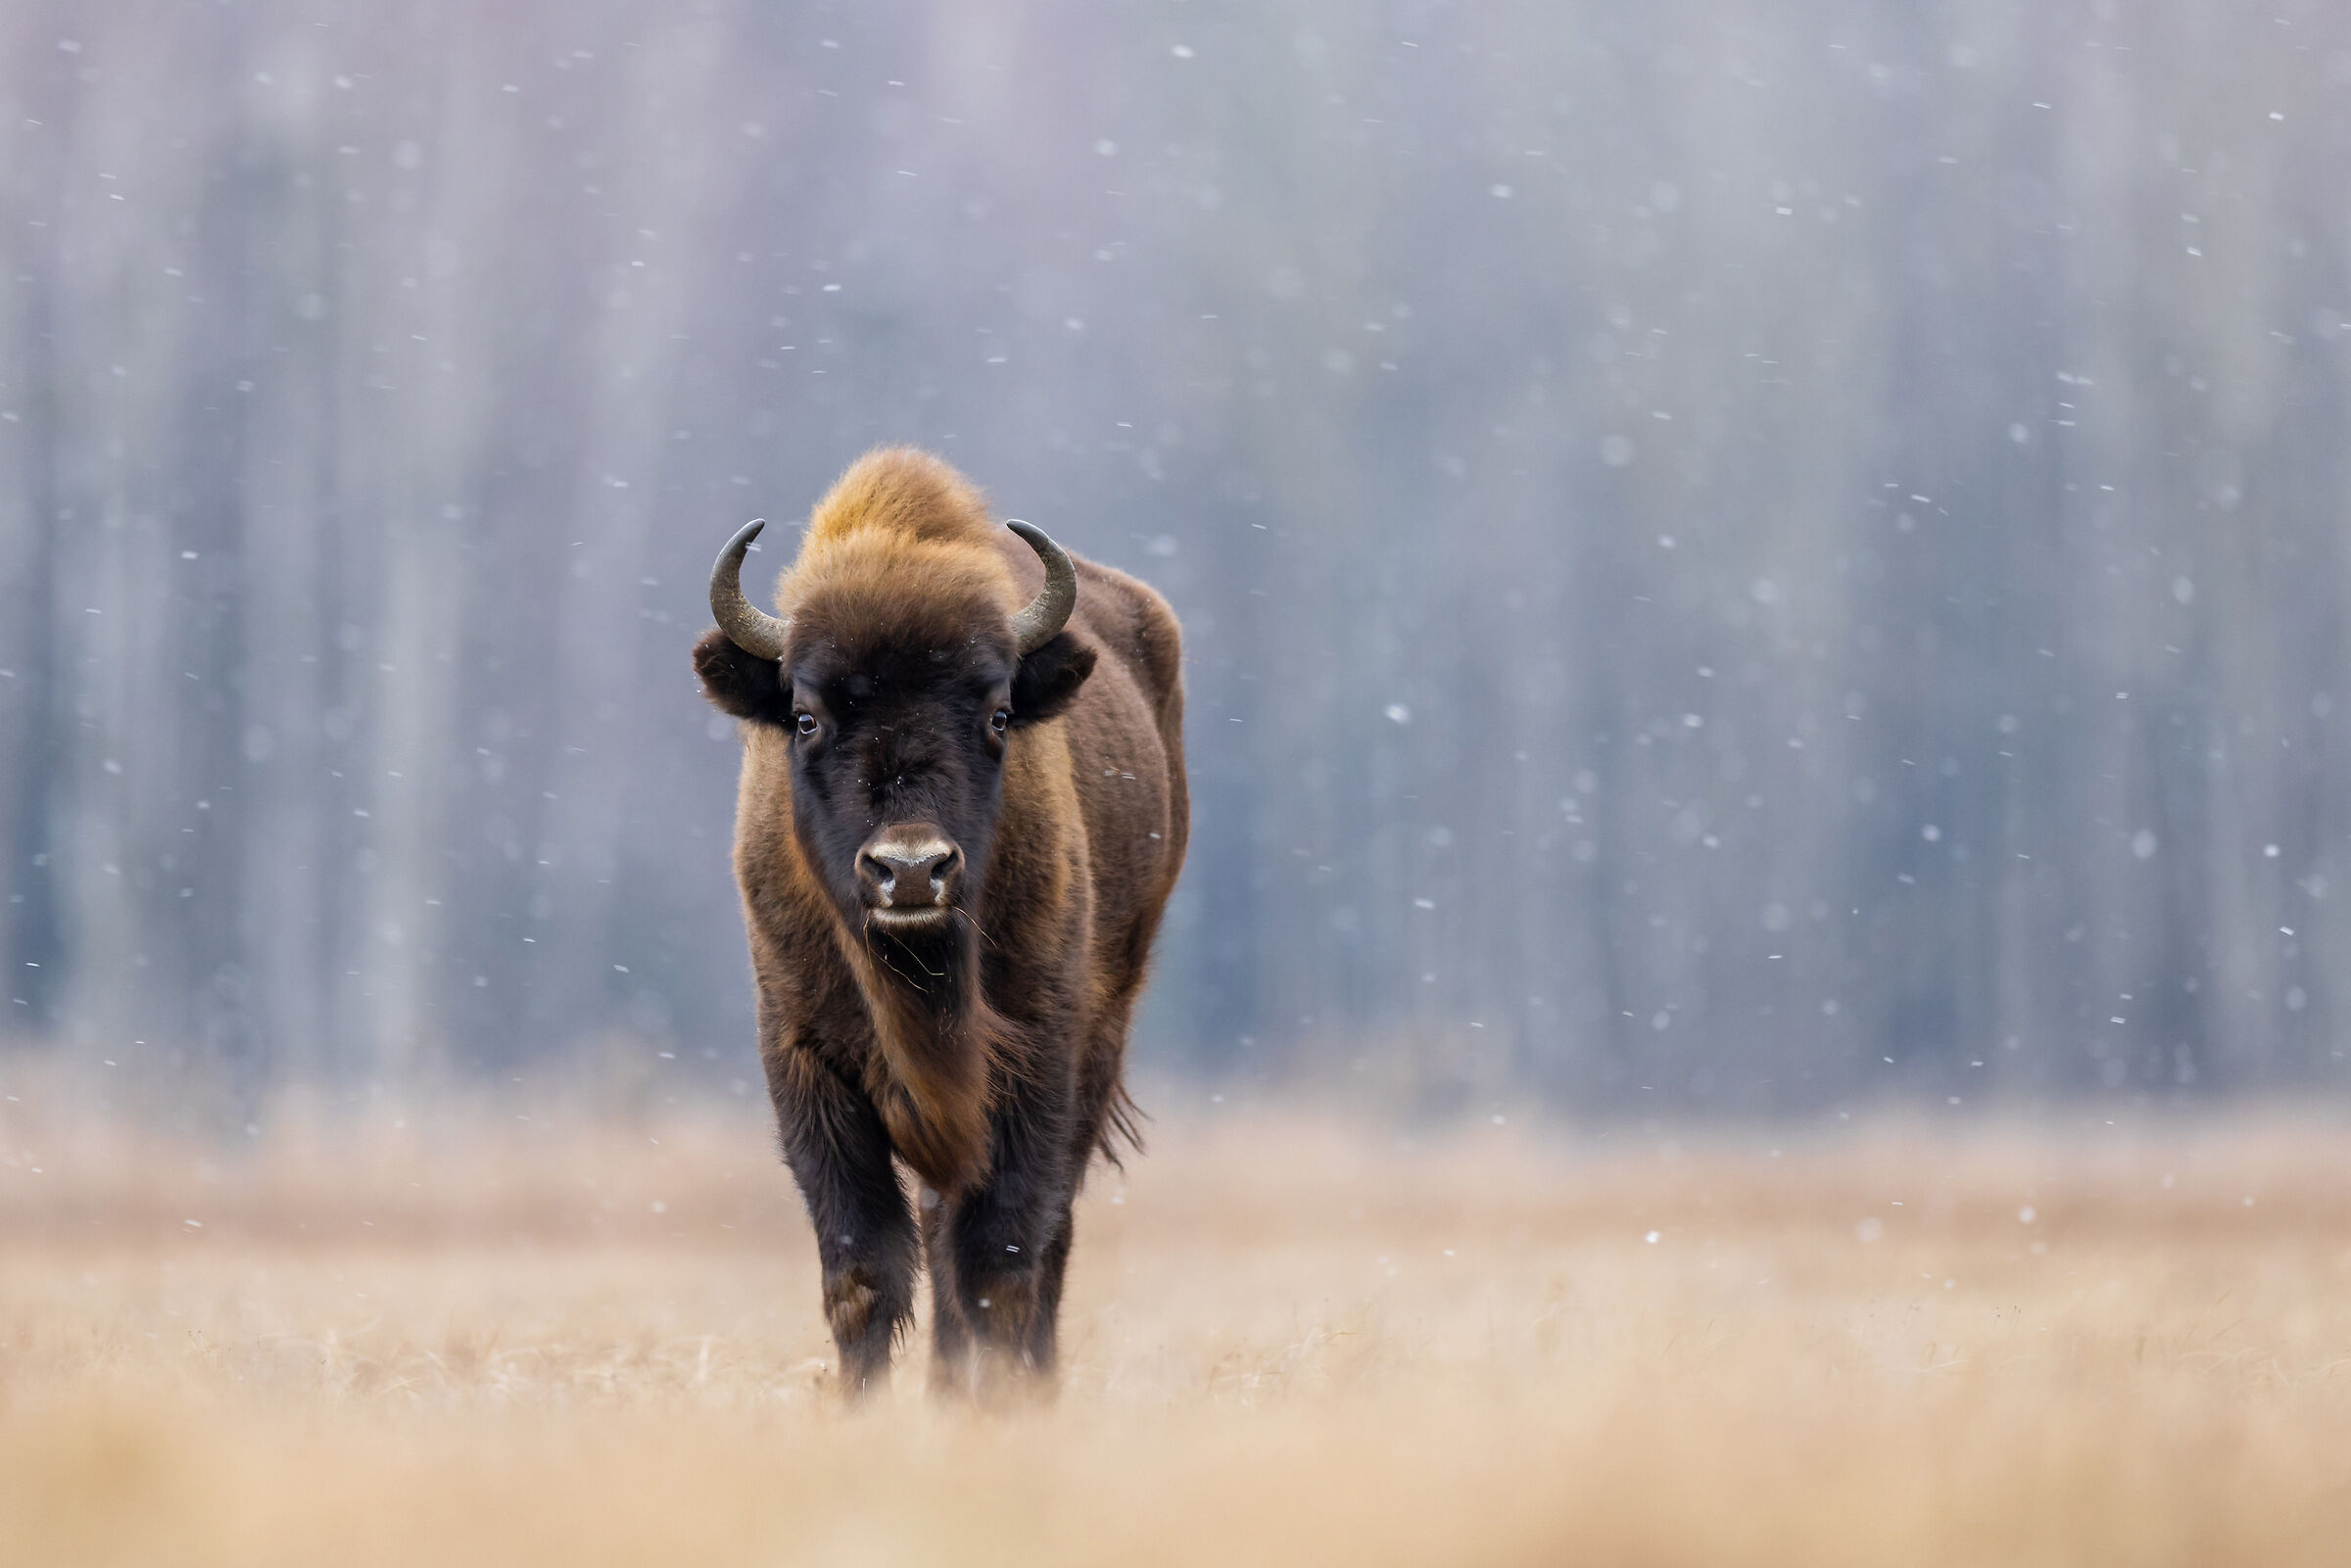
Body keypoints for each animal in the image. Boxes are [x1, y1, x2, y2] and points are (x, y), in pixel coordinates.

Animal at [692, 448, 1188, 1398]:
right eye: (805, 715)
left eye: (997, 714)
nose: (912, 867)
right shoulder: (805, 1062)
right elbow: (863, 1272)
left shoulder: (1039, 1053)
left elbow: (1000, 1260)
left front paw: (998, 1409)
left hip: (1102, 1037)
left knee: (1040, 1242)